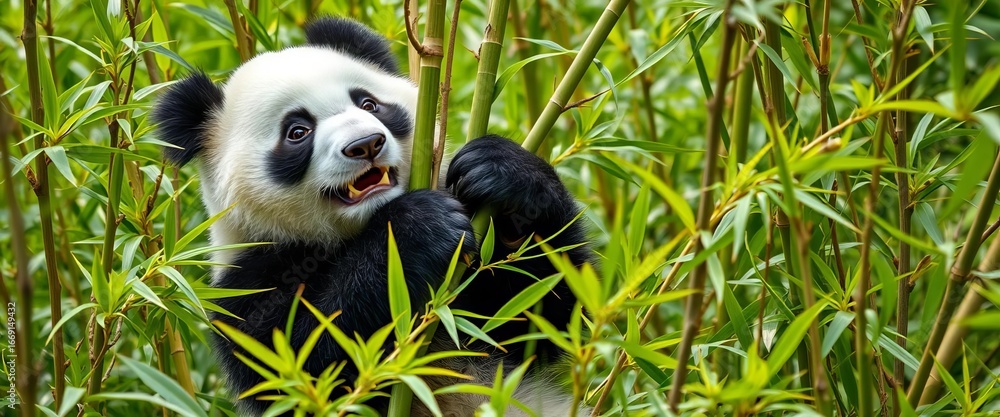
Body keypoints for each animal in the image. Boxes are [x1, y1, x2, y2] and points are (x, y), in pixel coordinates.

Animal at [153, 17, 590, 417]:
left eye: (368, 104)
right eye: (297, 131)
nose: (366, 144)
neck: (350, 232)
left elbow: (542, 316)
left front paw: (500, 172)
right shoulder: (245, 283)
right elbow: (306, 364)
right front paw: (418, 227)